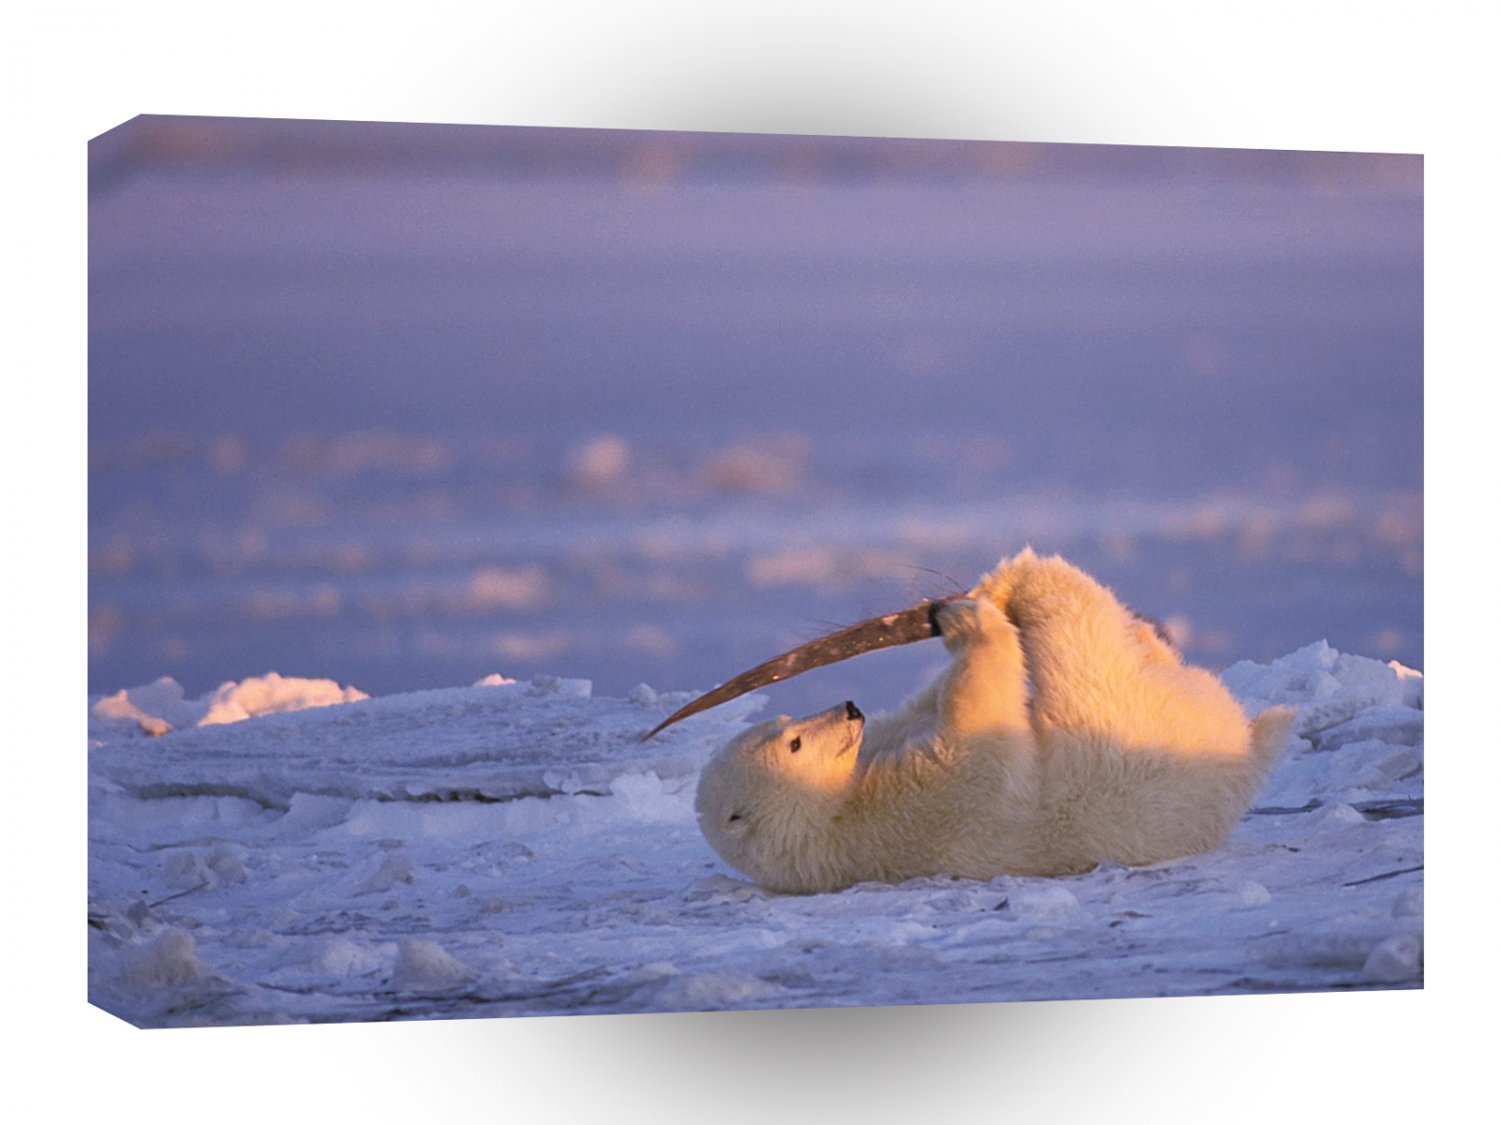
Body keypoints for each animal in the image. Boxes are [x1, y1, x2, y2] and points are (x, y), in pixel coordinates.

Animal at [694, 549, 1295, 894]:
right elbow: (979, 732)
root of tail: (1246, 749)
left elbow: (925, 708)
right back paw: (1022, 577)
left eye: (786, 721)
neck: (830, 820)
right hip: (1123, 723)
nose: (849, 709)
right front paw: (964, 618)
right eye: (795, 744)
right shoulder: (919, 811)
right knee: (1079, 631)